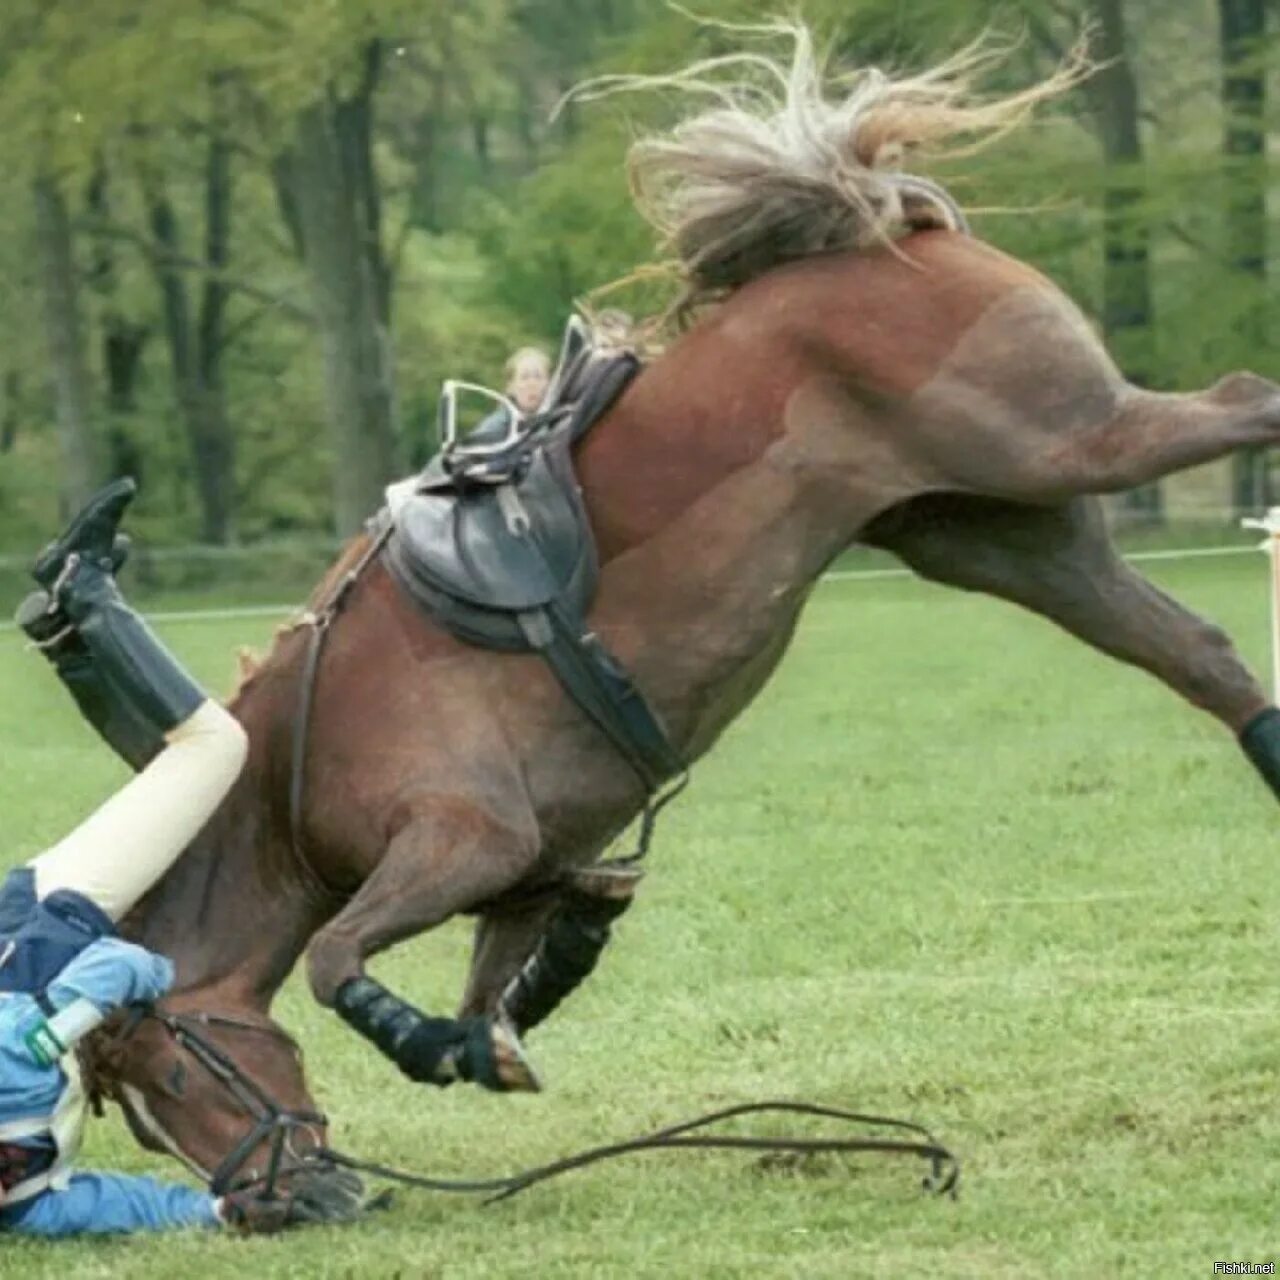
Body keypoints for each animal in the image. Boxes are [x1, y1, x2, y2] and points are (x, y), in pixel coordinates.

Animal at [82, 22, 1280, 1208]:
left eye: (170, 1072)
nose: (273, 1208)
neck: (297, 767)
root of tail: (889, 223)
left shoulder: (461, 838)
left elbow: (337, 960)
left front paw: (419, 1038)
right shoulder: (523, 873)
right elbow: (492, 993)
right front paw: (481, 1044)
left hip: (1071, 438)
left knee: (1245, 402)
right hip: (999, 539)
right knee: (1203, 655)